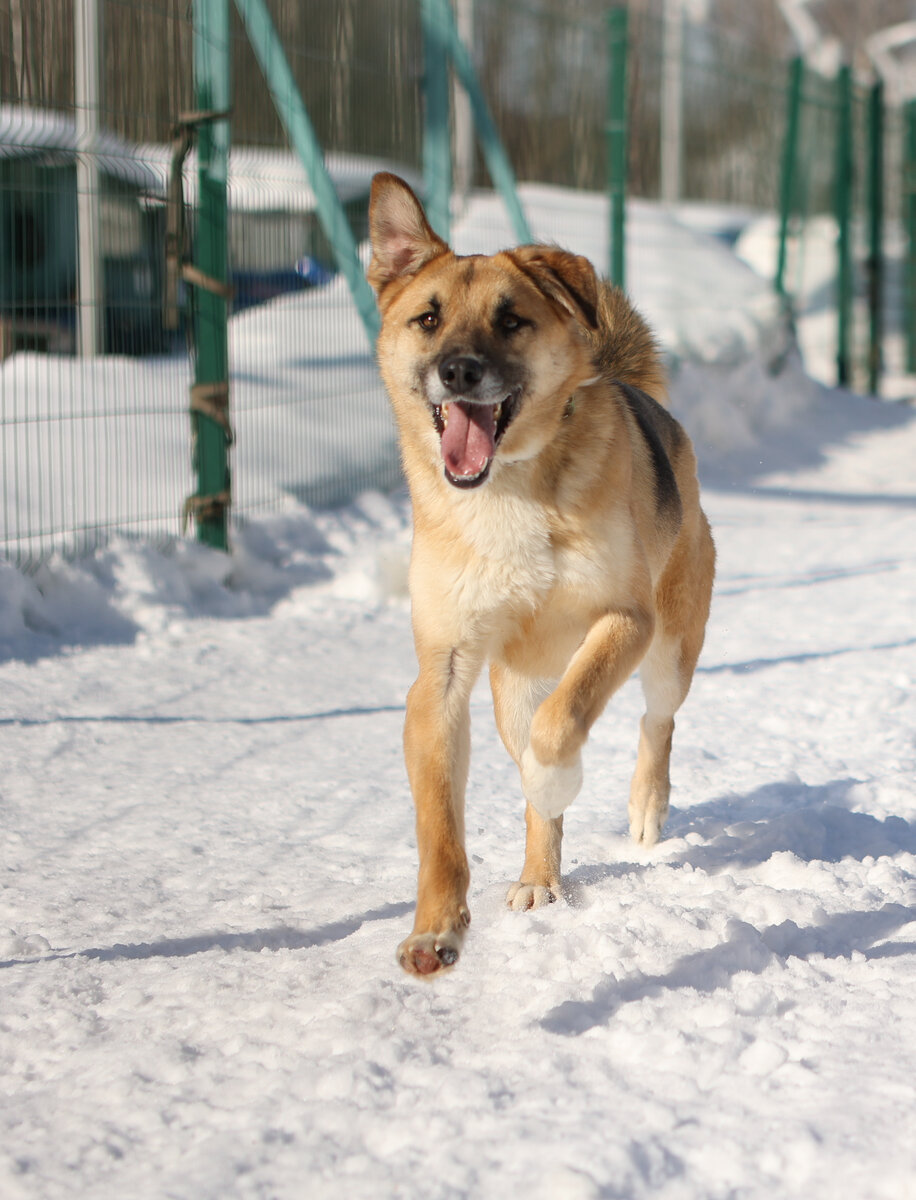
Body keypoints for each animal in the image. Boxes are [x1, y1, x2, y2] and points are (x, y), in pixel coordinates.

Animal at [364, 171, 715, 974]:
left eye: (512, 320)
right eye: (427, 318)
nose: (458, 370)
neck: (509, 495)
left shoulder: (625, 619)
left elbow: (562, 729)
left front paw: (558, 779)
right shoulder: (443, 673)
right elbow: (439, 822)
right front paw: (435, 928)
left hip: (670, 646)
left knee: (654, 721)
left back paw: (643, 807)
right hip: (510, 690)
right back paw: (538, 877)